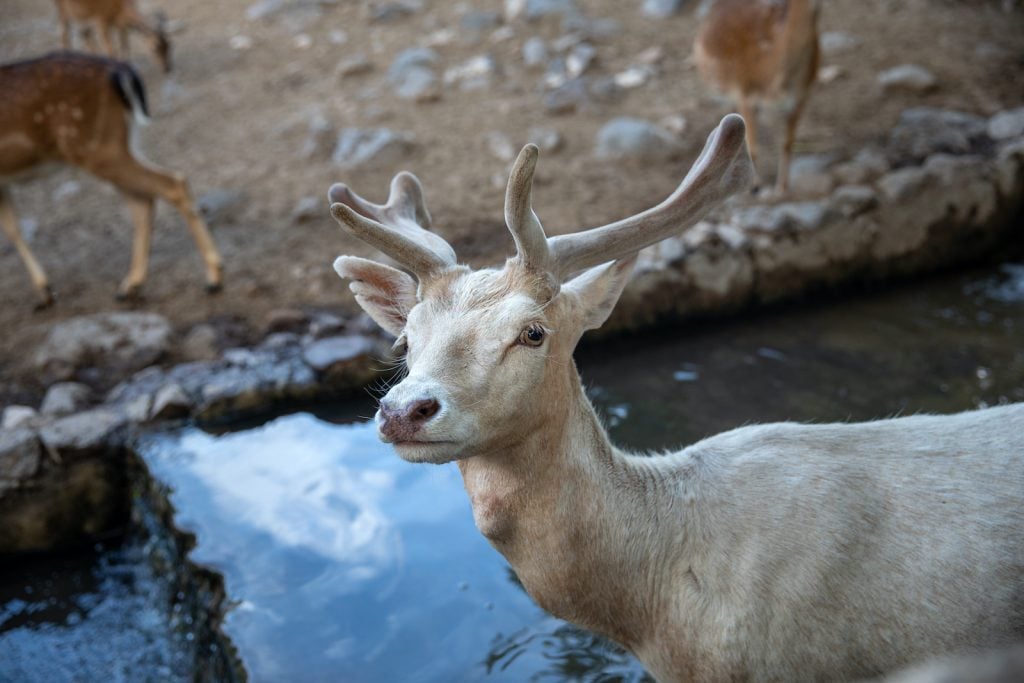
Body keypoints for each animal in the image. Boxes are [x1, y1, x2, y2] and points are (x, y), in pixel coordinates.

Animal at [0, 52, 223, 309]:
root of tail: (121, 72)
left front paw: (44, 293)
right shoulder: (2, 184)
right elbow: (12, 229)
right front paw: (44, 292)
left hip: (97, 148)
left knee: (172, 183)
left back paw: (213, 277)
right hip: (120, 145)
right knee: (143, 202)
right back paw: (130, 285)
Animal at [692, 0, 819, 194]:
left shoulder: (801, 98)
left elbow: (787, 143)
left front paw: (782, 188)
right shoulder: (746, 95)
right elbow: (753, 146)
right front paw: (754, 186)